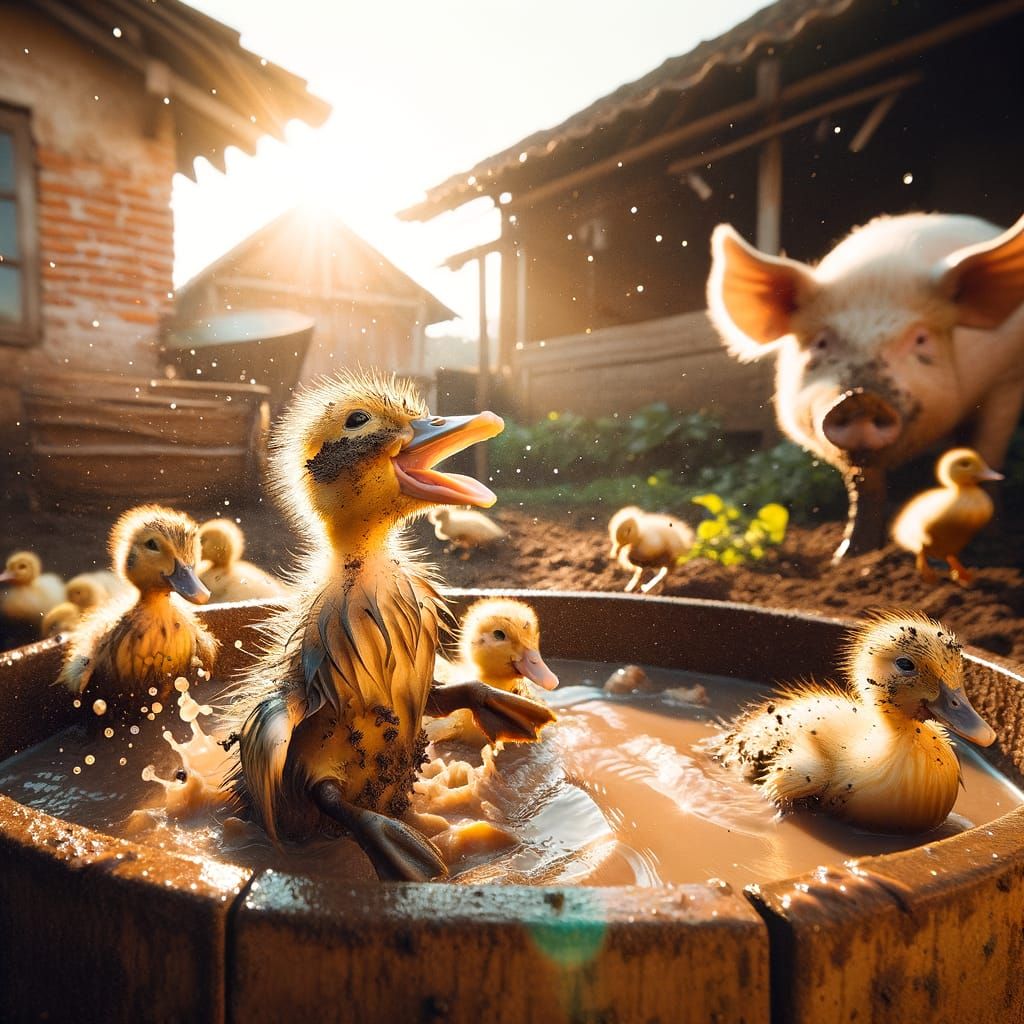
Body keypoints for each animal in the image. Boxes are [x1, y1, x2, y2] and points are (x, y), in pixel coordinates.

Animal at [706, 213, 1024, 558]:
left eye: (921, 339)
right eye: (821, 343)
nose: (859, 398)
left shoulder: (1007, 380)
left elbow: (988, 456)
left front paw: (991, 544)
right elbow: (865, 488)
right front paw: (848, 555)